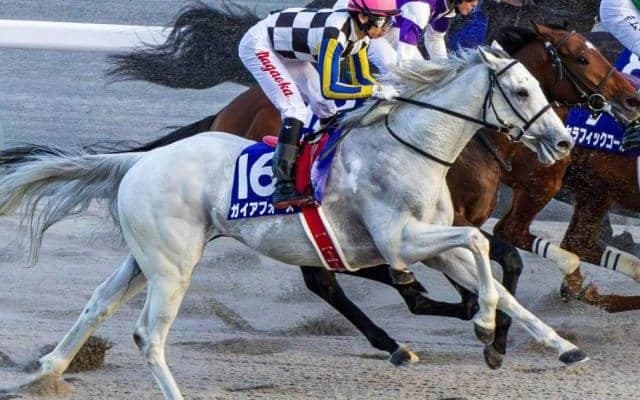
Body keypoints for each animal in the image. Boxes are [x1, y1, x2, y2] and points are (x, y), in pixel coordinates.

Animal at [0, 47, 584, 400]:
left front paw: (558, 345)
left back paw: (45, 370)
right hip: (172, 266)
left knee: (97, 304)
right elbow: (479, 252)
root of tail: (138, 162)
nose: (563, 142)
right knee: (148, 334)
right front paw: (483, 325)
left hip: (146, 259)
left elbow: (496, 280)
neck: (410, 148)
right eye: (524, 91)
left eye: (540, 85)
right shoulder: (401, 243)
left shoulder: (435, 246)